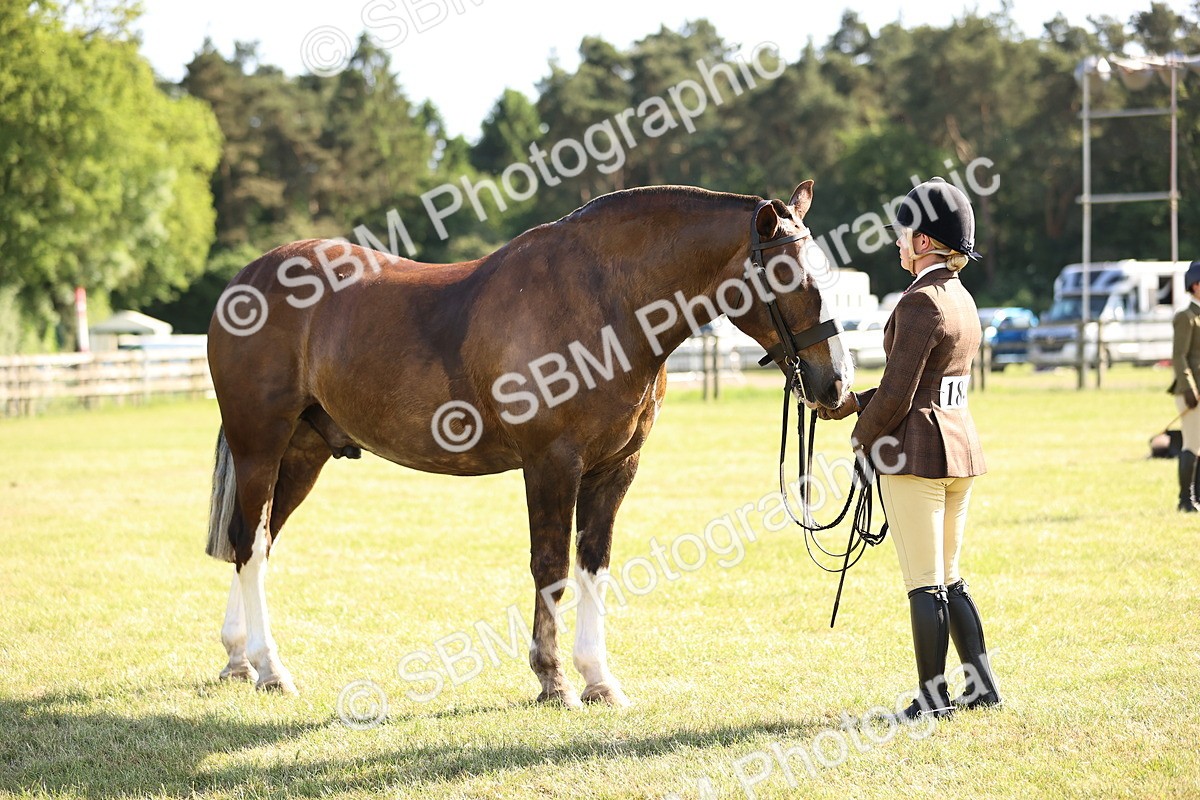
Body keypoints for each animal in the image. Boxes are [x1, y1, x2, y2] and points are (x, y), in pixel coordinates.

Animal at [204, 180, 853, 707]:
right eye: (791, 276)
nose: (837, 385)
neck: (607, 302)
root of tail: (245, 281)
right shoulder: (551, 464)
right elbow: (552, 567)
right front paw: (553, 679)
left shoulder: (616, 468)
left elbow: (594, 564)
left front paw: (599, 680)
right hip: (260, 446)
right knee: (250, 544)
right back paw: (270, 669)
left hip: (303, 453)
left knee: (256, 539)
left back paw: (239, 659)